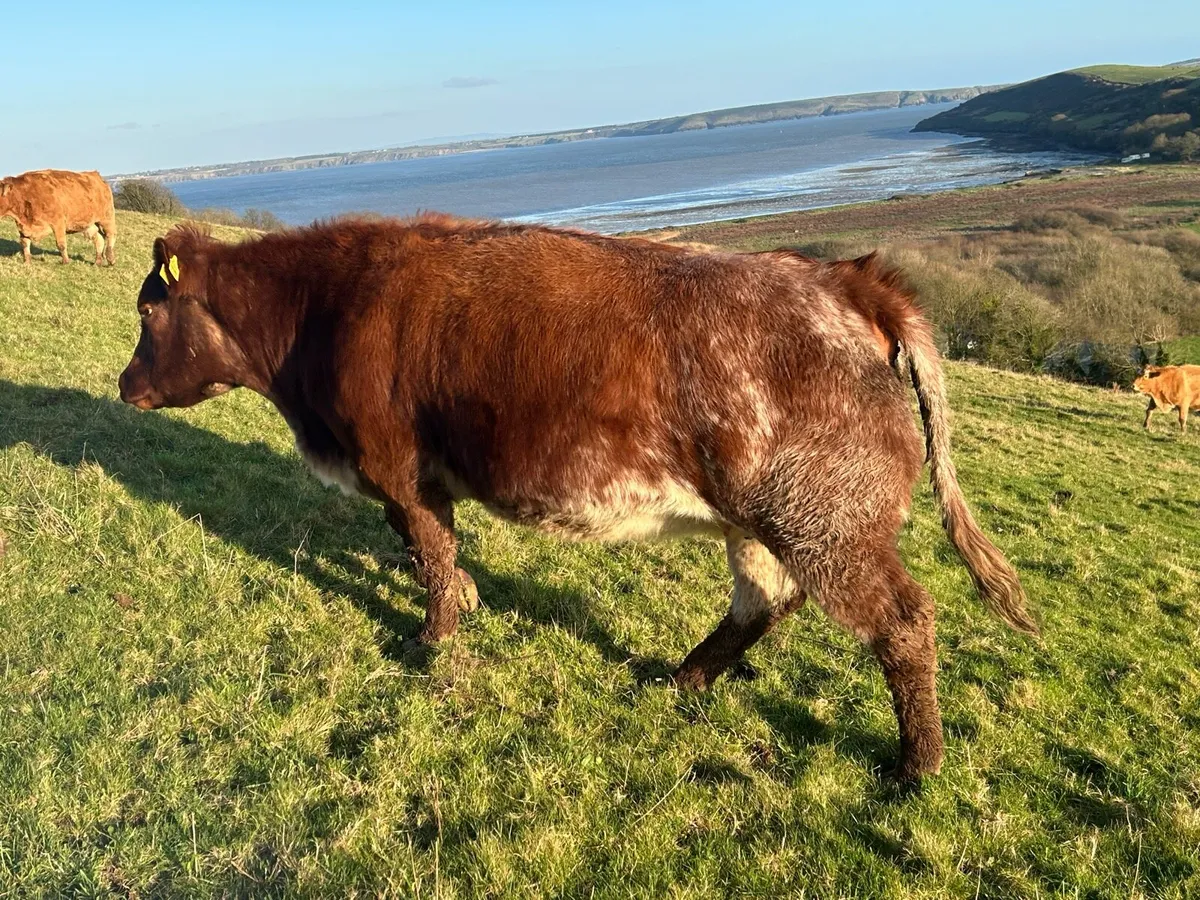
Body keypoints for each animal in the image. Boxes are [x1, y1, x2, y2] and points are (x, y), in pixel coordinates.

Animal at [117, 217, 1035, 781]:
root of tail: (849, 279)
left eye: (146, 313)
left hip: (825, 524)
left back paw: (916, 764)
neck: (325, 310)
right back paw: (683, 679)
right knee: (763, 601)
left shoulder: (398, 468)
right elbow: (434, 551)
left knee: (902, 622)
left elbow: (426, 549)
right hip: (763, 521)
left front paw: (434, 636)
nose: (125, 385)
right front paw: (466, 601)